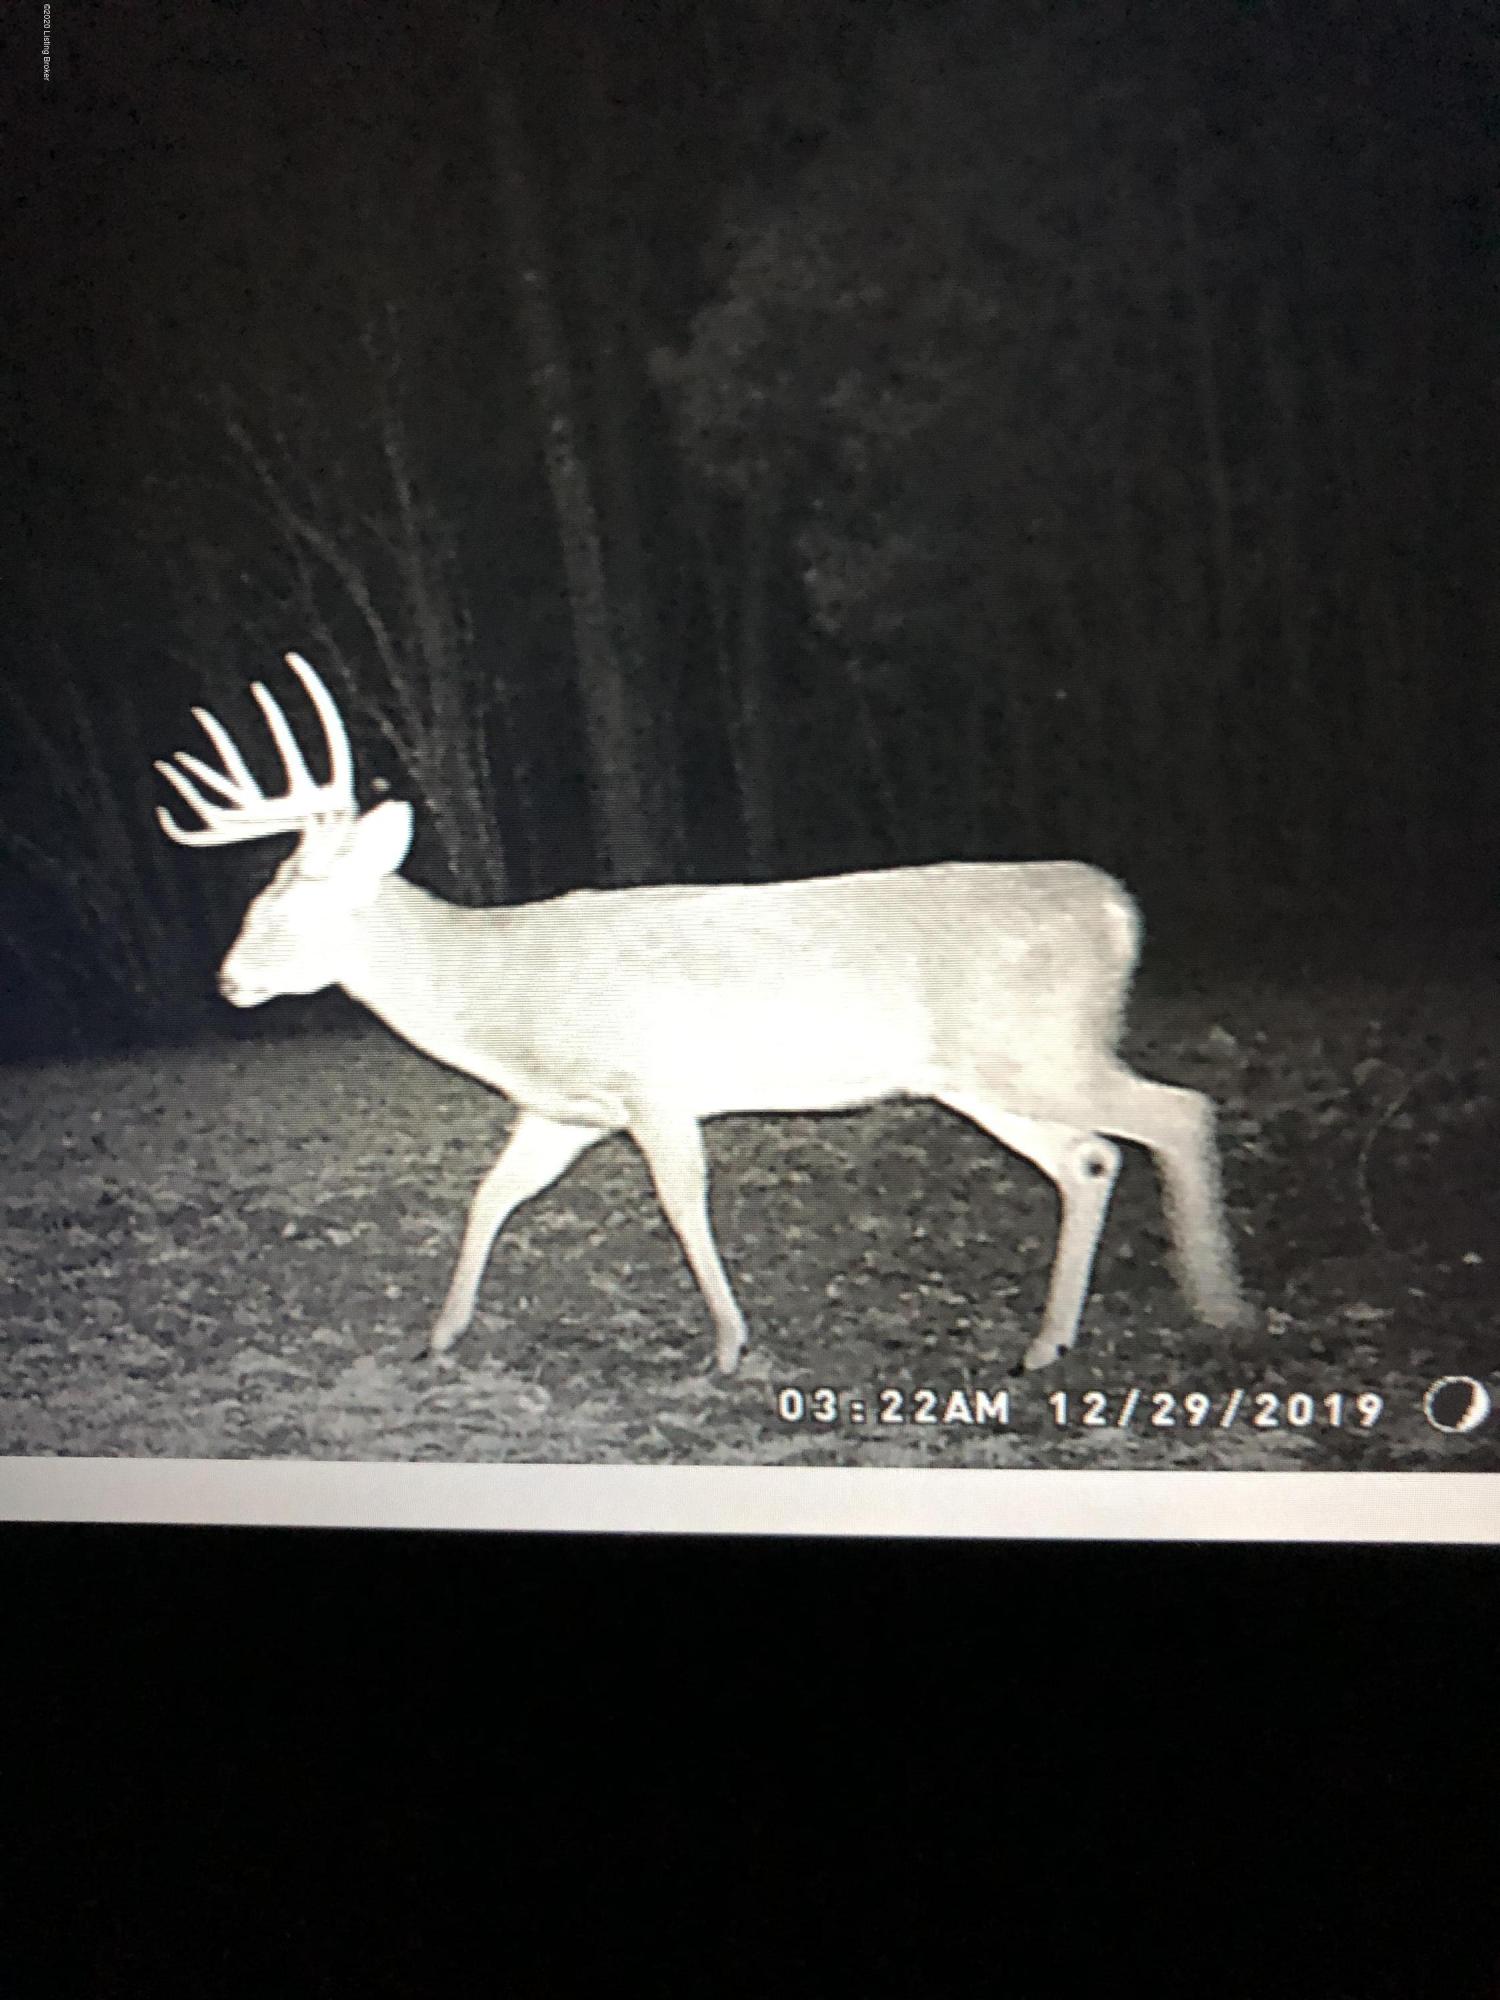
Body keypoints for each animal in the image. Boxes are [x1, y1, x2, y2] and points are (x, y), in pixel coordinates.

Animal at [155, 652, 1253, 1376]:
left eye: (286, 903)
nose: (229, 981)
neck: (509, 1000)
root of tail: (1116, 909)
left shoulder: (654, 1085)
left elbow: (682, 1203)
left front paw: (727, 1343)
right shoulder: (563, 1109)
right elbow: (491, 1195)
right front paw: (439, 1333)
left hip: (1029, 1045)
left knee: (1178, 1110)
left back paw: (1218, 1300)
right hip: (986, 1071)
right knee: (1091, 1157)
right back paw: (1047, 1340)